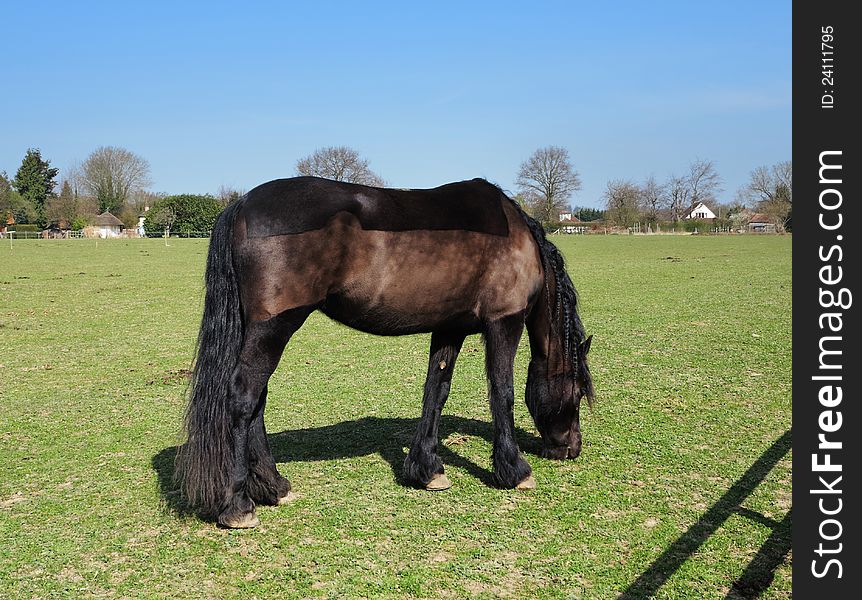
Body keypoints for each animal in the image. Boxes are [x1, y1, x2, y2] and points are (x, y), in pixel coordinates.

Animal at [176, 176, 592, 528]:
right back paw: (238, 505)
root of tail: (242, 204)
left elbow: (436, 391)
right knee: (243, 398)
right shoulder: (505, 321)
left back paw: (274, 487)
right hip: (274, 327)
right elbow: (502, 393)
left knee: (256, 403)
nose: (571, 448)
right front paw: (515, 470)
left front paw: (428, 470)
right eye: (576, 394)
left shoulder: (450, 327)